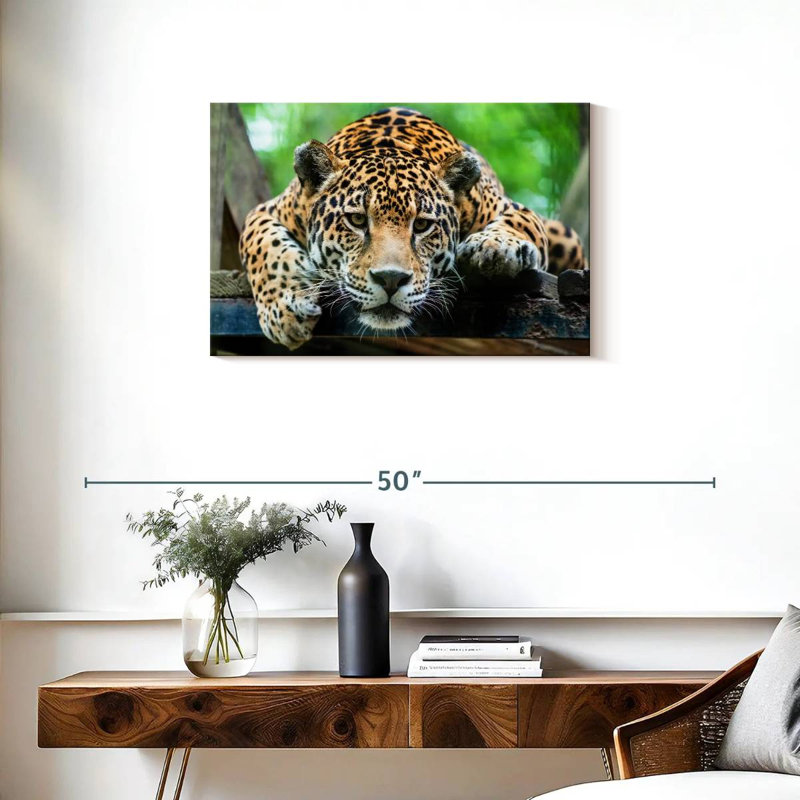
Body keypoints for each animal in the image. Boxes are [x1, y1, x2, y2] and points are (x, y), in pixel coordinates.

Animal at [239, 107, 586, 350]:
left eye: (422, 225)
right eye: (357, 220)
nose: (391, 280)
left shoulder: (511, 208)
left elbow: (519, 223)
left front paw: (494, 247)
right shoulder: (267, 211)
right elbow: (264, 248)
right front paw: (284, 311)